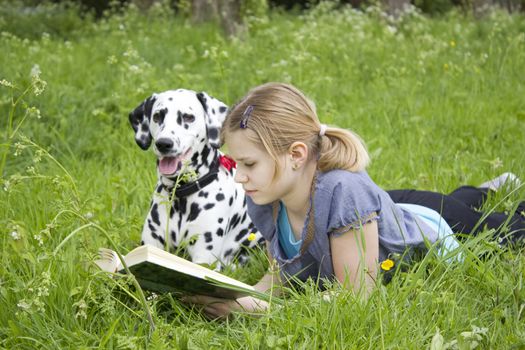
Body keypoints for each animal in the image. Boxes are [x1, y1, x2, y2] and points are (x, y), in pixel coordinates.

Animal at [129, 89, 264, 266]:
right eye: (157, 116)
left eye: (188, 117)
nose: (164, 143)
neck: (181, 197)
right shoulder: (152, 244)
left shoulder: (204, 257)